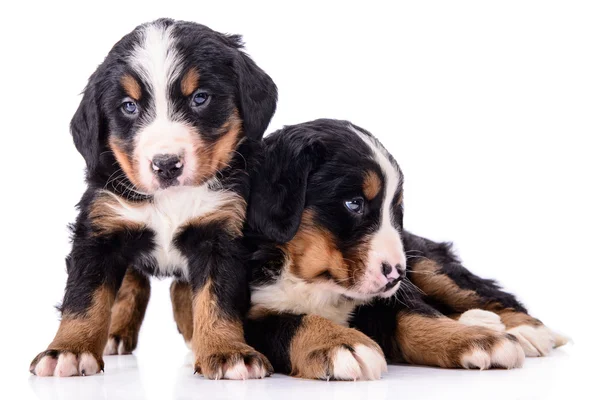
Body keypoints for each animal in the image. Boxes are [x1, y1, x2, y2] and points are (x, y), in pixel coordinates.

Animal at [29, 18, 278, 380]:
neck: (169, 200)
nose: (166, 164)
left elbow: (217, 297)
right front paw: (68, 350)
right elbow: (85, 297)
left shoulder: (221, 230)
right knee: (132, 285)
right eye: (129, 106)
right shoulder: (101, 226)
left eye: (200, 98)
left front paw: (226, 351)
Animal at [233, 118, 564, 378]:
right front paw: (339, 342)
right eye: (354, 203)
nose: (397, 275)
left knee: (491, 293)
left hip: (428, 263)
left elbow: (415, 317)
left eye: (395, 209)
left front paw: (478, 340)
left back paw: (523, 330)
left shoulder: (387, 299)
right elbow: (290, 322)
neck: (309, 277)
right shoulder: (247, 314)